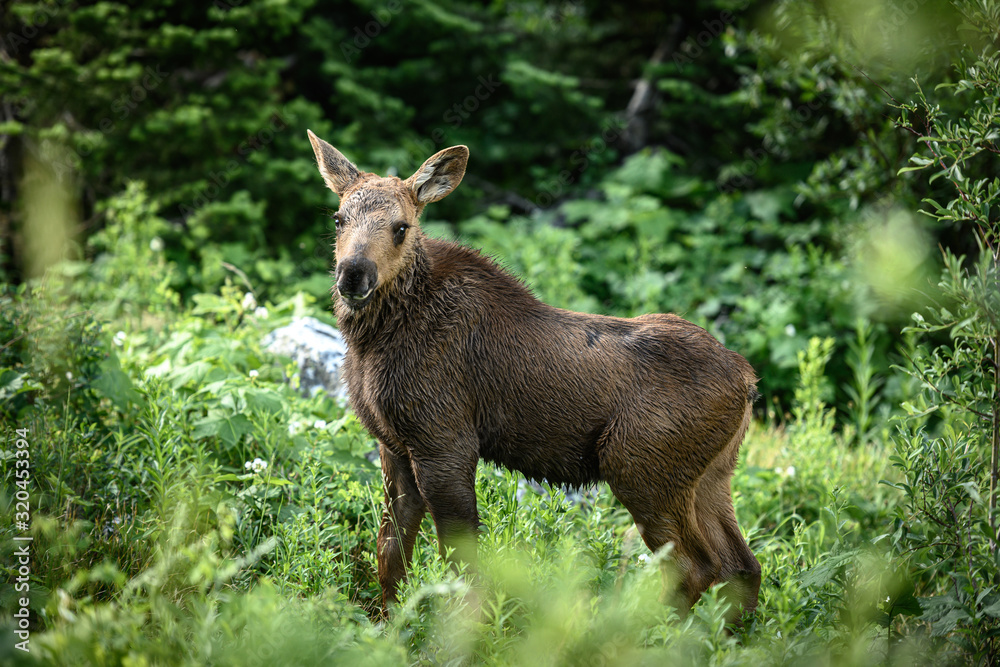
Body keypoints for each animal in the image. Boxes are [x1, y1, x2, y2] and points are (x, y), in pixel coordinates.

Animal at [306, 129, 761, 622]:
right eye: (338, 218)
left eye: (401, 227)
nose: (353, 274)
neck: (372, 344)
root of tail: (747, 382)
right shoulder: (393, 444)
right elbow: (390, 554)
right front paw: (388, 626)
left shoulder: (445, 441)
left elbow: (459, 562)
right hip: (711, 475)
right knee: (742, 564)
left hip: (642, 468)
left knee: (695, 565)